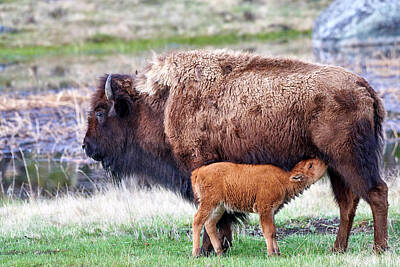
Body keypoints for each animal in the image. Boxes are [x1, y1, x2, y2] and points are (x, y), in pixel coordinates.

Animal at [192, 159, 326, 258]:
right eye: (310, 165)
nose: (324, 162)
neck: (283, 179)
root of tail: (199, 171)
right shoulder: (265, 210)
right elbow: (268, 231)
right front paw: (271, 254)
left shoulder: (271, 212)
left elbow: (274, 232)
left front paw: (278, 253)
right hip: (209, 203)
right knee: (197, 221)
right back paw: (196, 254)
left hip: (219, 207)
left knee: (210, 223)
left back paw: (220, 253)